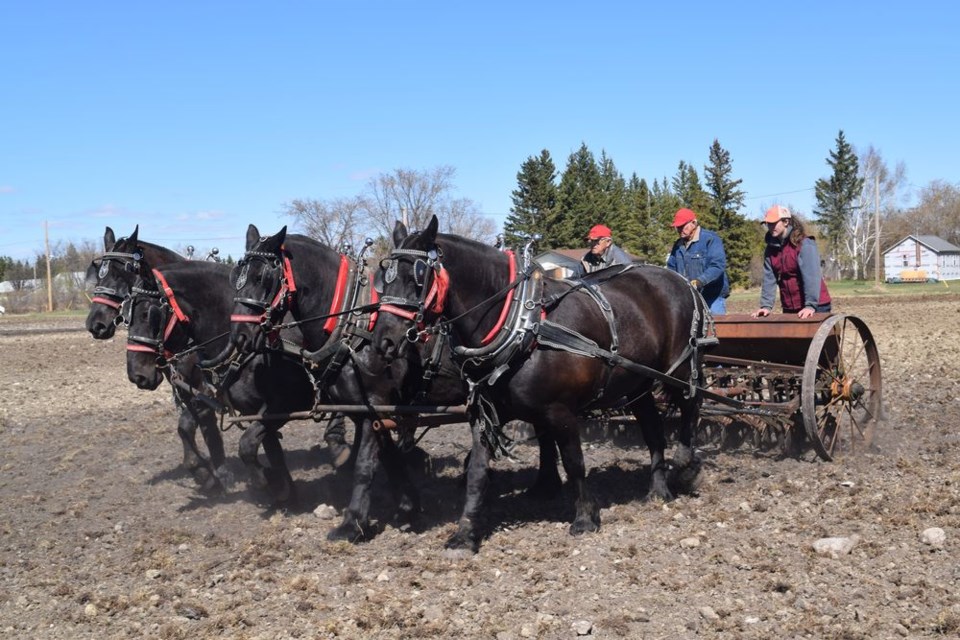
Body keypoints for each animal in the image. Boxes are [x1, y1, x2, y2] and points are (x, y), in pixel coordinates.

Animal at [124, 260, 316, 500]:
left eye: (146, 313)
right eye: (125, 315)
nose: (137, 374)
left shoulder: (287, 404)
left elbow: (248, 445)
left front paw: (268, 481)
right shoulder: (232, 403)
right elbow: (269, 450)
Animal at [364, 218, 708, 552]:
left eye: (418, 276)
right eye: (384, 278)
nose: (384, 340)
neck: (523, 324)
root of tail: (680, 281)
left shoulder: (561, 411)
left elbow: (574, 462)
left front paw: (585, 518)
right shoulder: (485, 412)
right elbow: (476, 471)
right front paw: (465, 533)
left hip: (679, 369)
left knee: (692, 404)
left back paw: (686, 466)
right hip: (636, 383)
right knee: (652, 429)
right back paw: (659, 488)